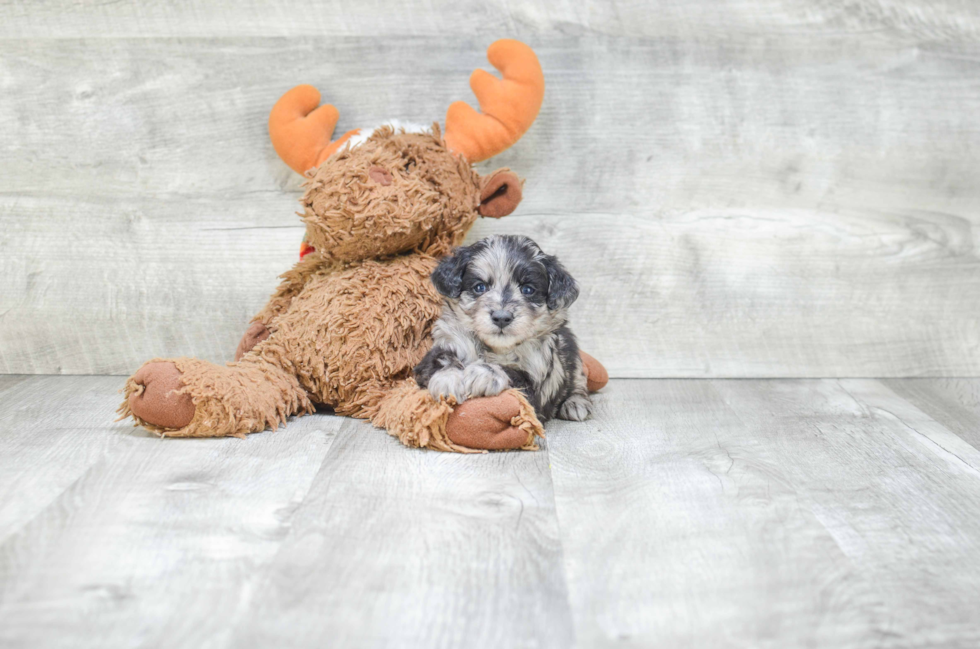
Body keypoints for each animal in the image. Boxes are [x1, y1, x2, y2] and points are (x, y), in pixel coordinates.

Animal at [412, 233, 588, 420]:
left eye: (528, 289)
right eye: (480, 287)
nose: (502, 318)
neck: (495, 349)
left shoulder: (538, 383)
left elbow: (514, 374)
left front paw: (485, 373)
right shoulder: (447, 341)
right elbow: (441, 359)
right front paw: (448, 380)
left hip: (573, 358)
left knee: (579, 380)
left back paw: (576, 403)